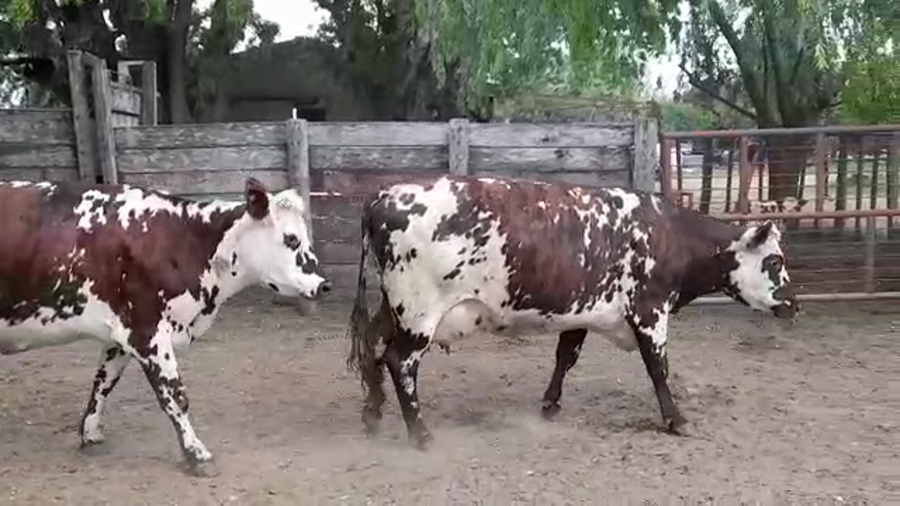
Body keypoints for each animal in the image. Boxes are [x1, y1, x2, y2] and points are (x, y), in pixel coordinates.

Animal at [0, 177, 330, 472]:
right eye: (291, 239)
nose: (324, 285)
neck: (183, 241)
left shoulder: (119, 335)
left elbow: (103, 384)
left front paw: (90, 433)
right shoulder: (147, 331)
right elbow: (175, 395)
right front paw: (196, 453)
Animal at [345, 175, 799, 448]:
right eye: (774, 260)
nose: (795, 303)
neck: (668, 234)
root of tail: (384, 197)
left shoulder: (581, 312)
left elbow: (566, 356)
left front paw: (550, 404)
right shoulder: (650, 311)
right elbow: (658, 368)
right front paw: (676, 419)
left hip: (392, 308)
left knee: (373, 350)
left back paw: (372, 414)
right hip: (419, 313)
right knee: (399, 362)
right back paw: (420, 434)